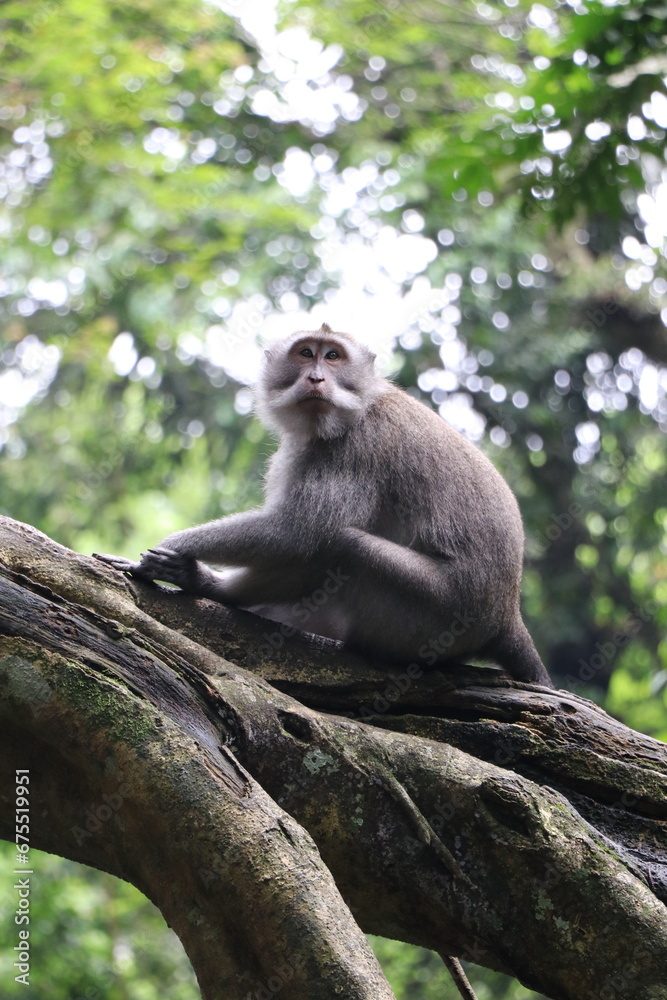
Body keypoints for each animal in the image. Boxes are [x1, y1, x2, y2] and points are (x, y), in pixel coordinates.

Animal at [95, 323, 553, 688]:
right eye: (305, 354)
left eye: (333, 356)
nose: (316, 377)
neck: (358, 407)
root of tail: (506, 614)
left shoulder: (355, 450)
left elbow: (298, 535)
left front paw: (171, 548)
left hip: (439, 612)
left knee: (339, 546)